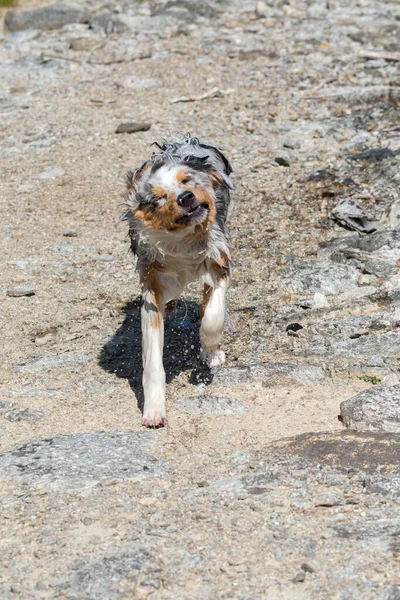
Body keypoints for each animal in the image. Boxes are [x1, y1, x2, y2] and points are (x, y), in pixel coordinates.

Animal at [123, 136, 233, 426]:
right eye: (159, 197)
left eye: (187, 181)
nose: (186, 197)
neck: (182, 241)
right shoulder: (152, 287)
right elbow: (152, 361)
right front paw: (153, 410)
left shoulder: (218, 262)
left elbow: (213, 315)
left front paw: (210, 348)